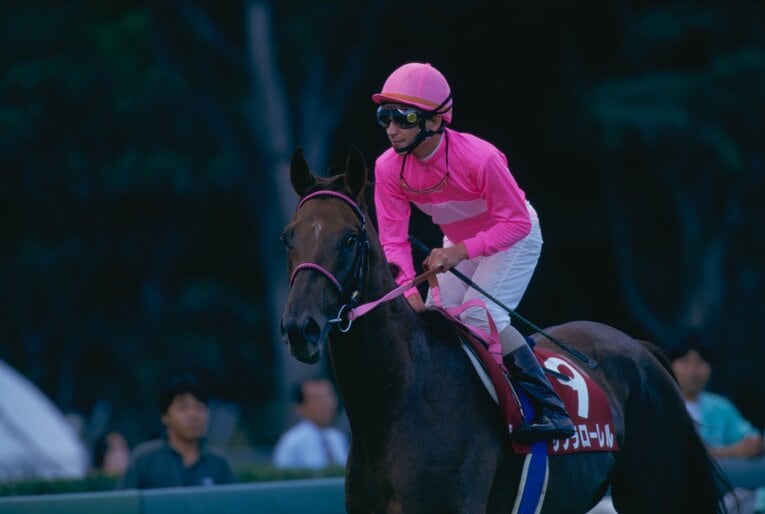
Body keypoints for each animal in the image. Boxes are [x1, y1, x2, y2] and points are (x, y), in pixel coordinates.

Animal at [279, 146, 731, 514]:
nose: (300, 327)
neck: (397, 400)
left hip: (654, 490)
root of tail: (637, 347)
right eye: (288, 237)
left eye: (349, 239)